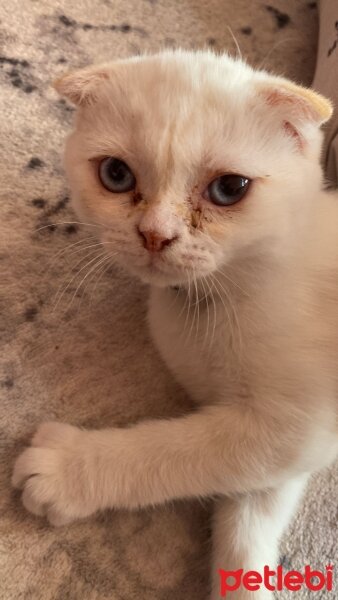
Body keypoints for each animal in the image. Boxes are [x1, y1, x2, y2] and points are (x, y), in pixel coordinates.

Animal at [11, 49, 336, 596]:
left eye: (229, 188)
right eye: (116, 174)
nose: (155, 235)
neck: (211, 301)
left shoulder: (295, 425)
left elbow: (185, 451)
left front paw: (69, 470)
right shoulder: (281, 454)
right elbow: (248, 519)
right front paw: (245, 582)